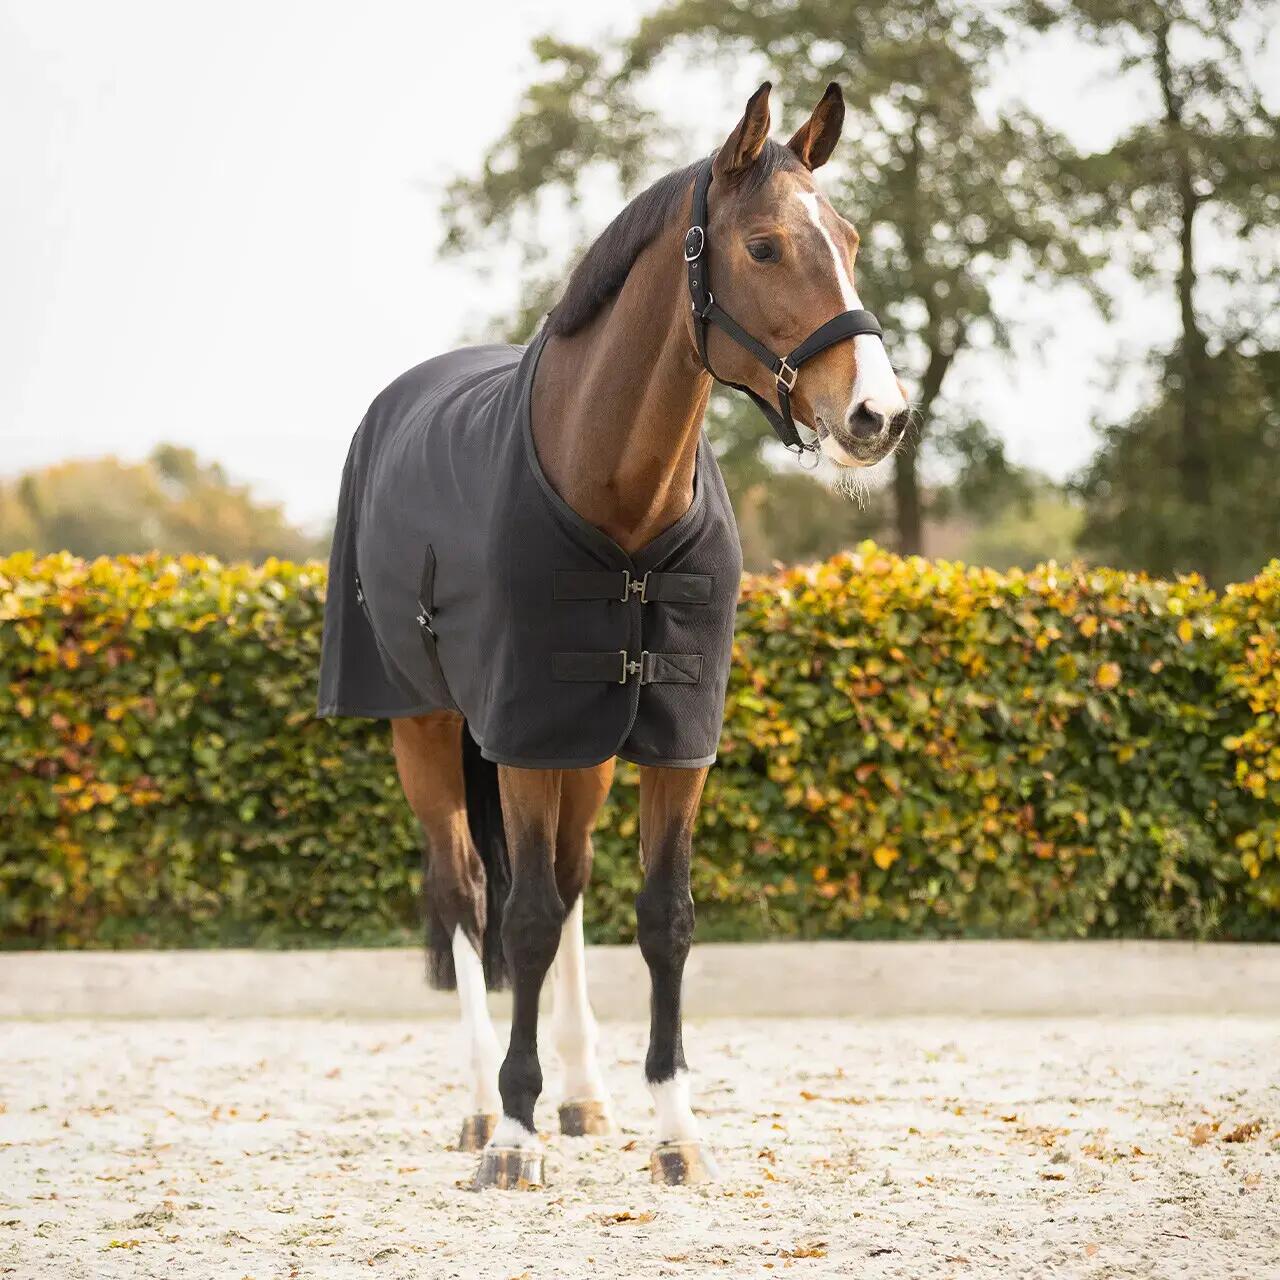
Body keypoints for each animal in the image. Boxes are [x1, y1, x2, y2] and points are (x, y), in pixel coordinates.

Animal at [318, 80, 909, 1189]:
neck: (618, 502)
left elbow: (658, 918)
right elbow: (521, 919)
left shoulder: (671, 735)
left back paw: (581, 1093)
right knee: (468, 893)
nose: (877, 415)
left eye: (850, 237)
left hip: (584, 744)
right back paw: (482, 1104)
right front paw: (513, 1137)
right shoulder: (520, 732)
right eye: (764, 246)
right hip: (429, 728)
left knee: (570, 884)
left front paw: (673, 1126)